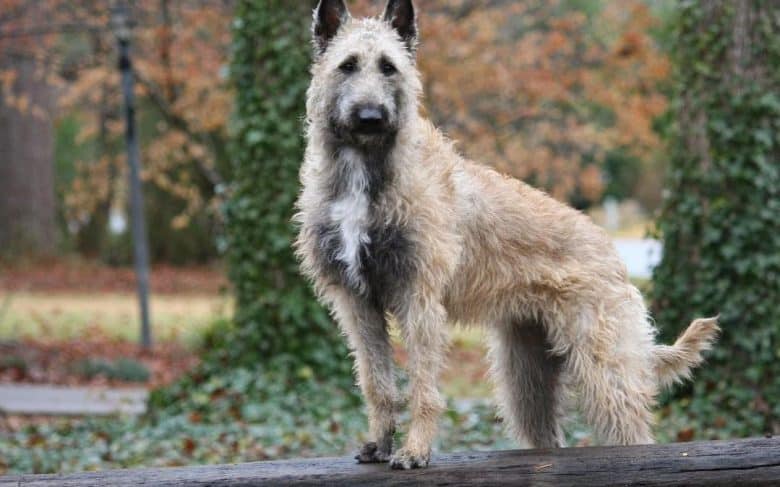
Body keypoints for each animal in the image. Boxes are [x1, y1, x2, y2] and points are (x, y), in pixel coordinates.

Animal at [294, 0, 720, 472]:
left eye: (389, 67)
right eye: (347, 65)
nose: (371, 118)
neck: (366, 170)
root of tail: (614, 257)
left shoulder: (418, 298)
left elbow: (423, 386)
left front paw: (415, 450)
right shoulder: (357, 303)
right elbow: (377, 383)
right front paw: (381, 444)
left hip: (604, 367)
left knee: (633, 432)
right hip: (526, 379)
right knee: (549, 435)